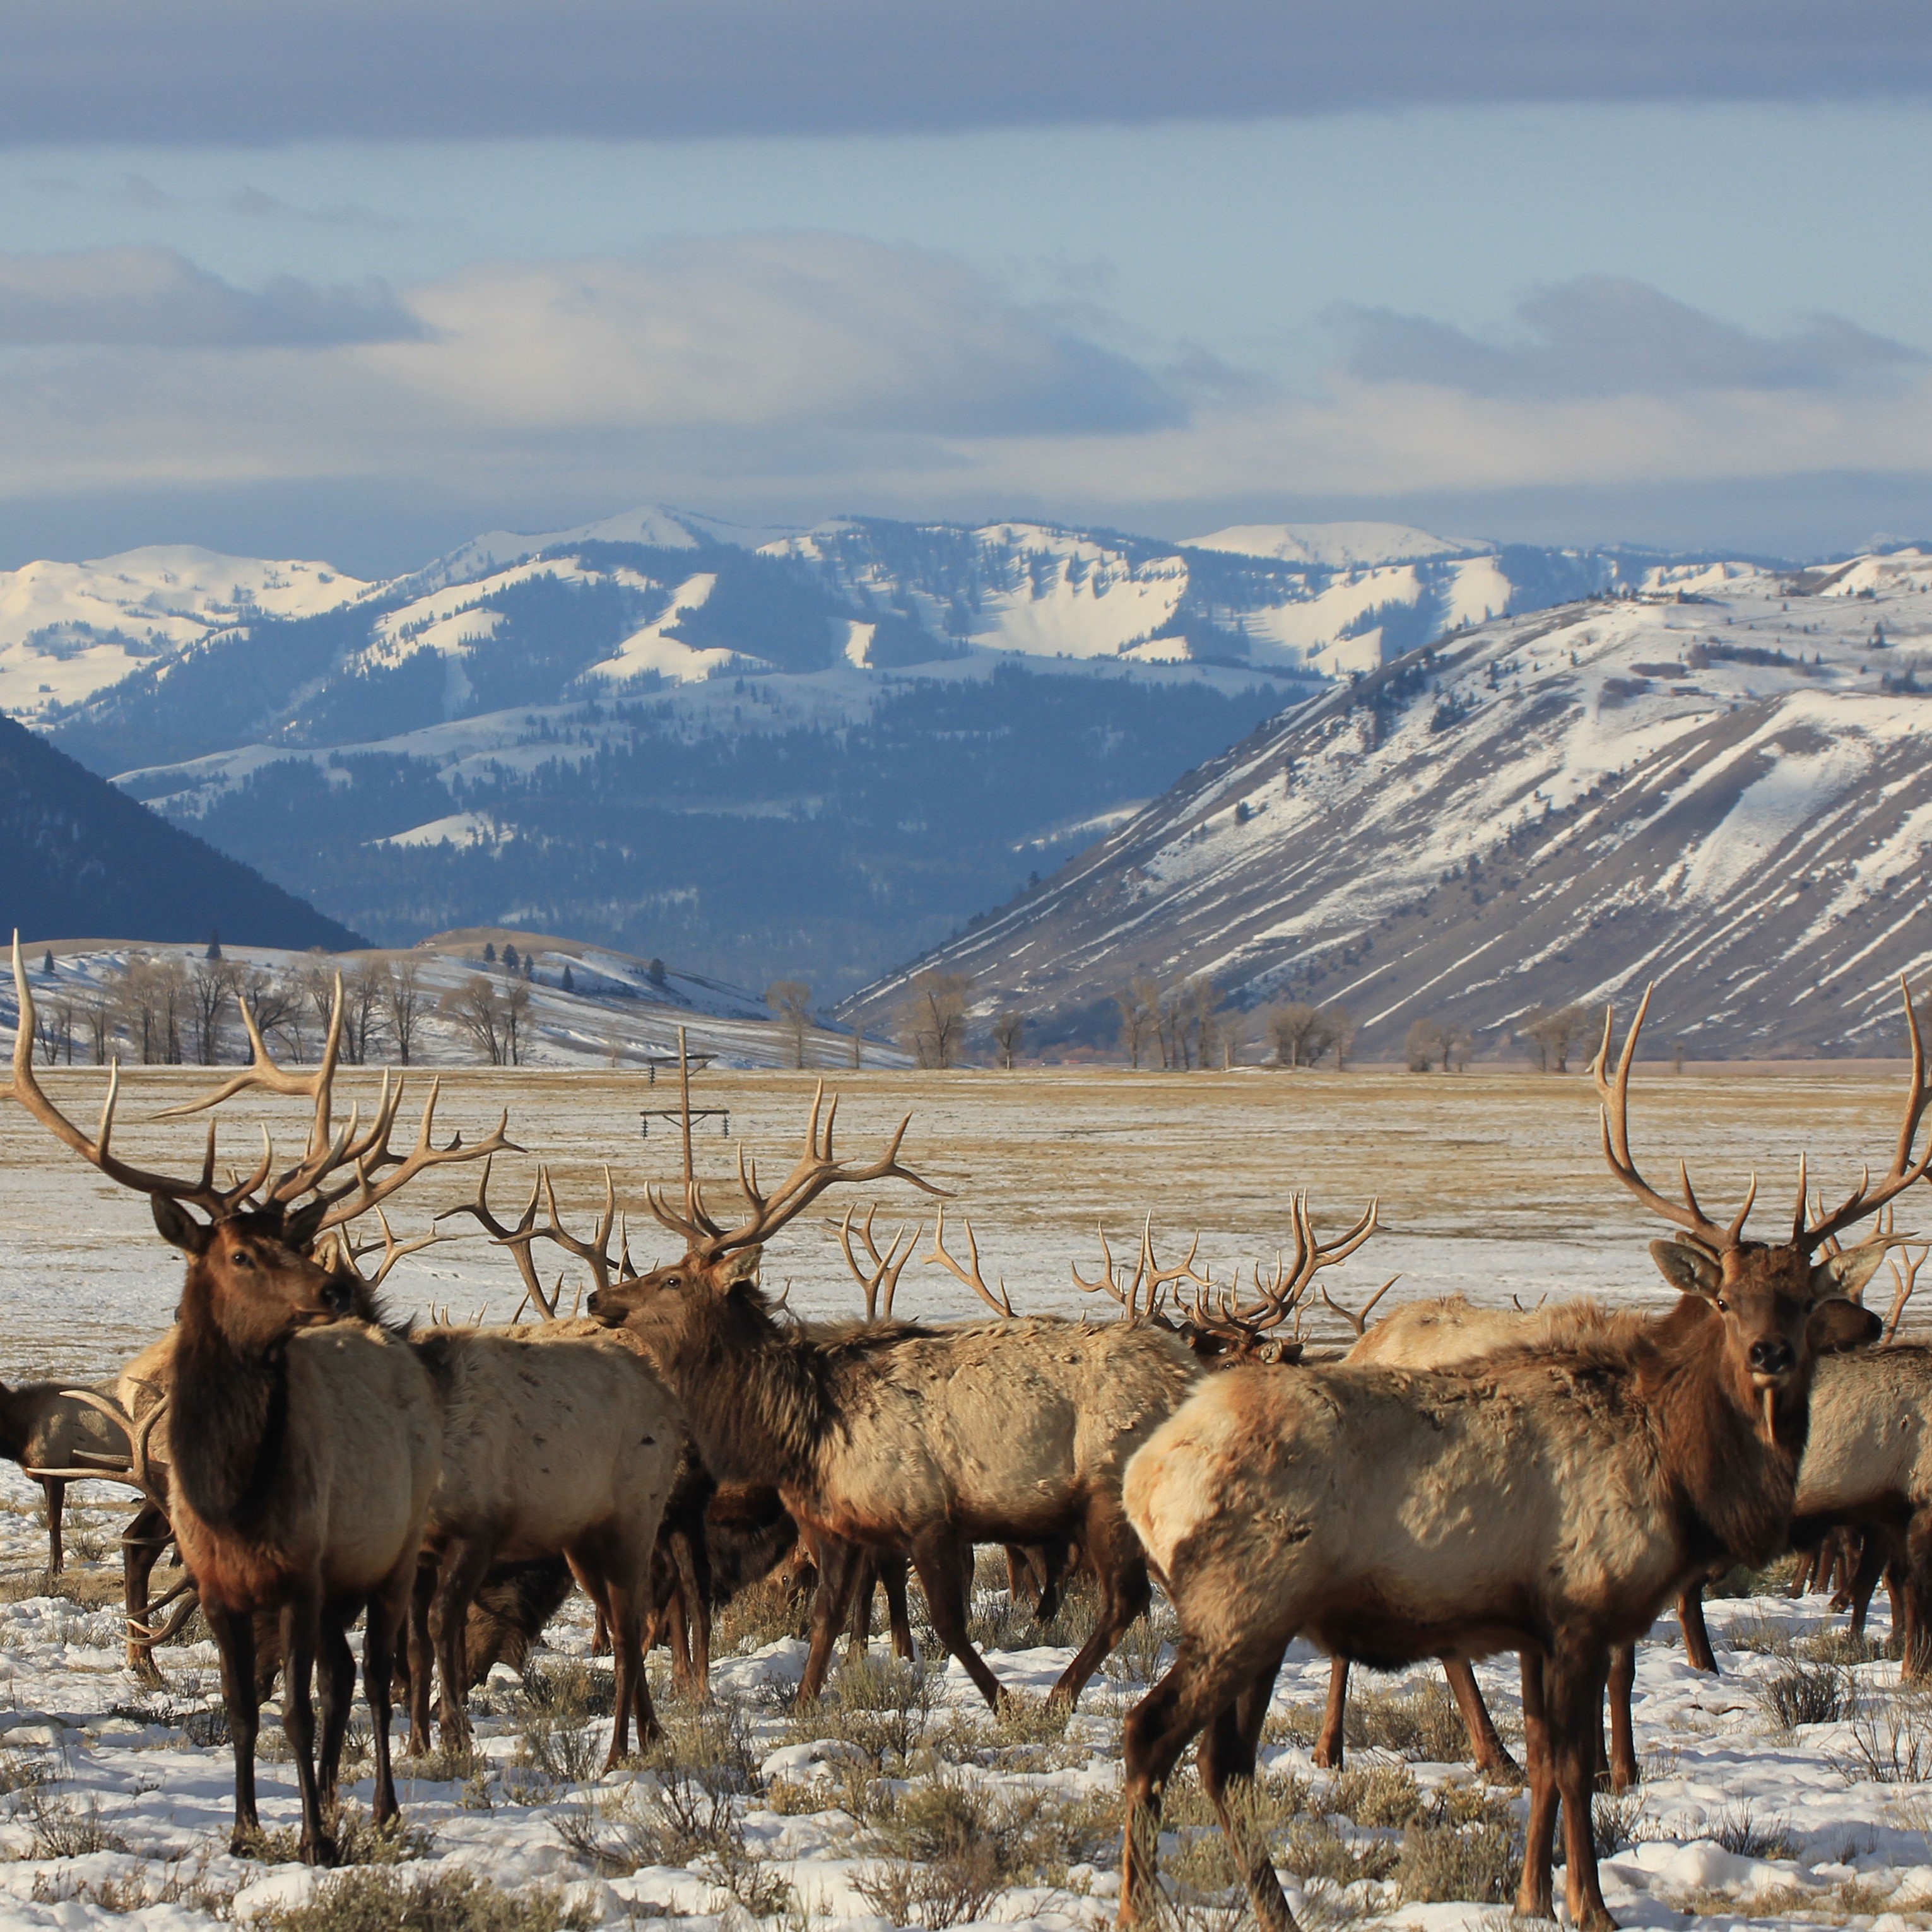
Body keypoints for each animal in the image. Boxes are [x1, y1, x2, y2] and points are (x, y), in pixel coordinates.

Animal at [1, 943, 514, 1862]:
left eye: (295, 1239)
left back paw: (379, 1809)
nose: (334, 1286)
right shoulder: (217, 1585)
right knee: (345, 1675)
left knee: (373, 1677)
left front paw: (313, 1836)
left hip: (389, 1555)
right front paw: (245, 1829)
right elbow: (244, 1705)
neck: (235, 1500)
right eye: (241, 1253)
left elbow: (300, 1706)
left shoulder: (304, 1574)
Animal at [1112, 981, 1909, 1932]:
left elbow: (1543, 1758)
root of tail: (1140, 1476)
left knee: (1220, 1763)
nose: (1768, 1354)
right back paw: (1138, 1908)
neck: (1684, 1474)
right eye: (1724, 1297)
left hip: (1259, 1623)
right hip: (1238, 1602)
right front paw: (1591, 1906)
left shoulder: (1536, 1624)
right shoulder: (1580, 1607)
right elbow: (1570, 1767)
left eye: (1802, 1298)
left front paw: (1538, 1891)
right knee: (1149, 1737)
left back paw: (1274, 1910)